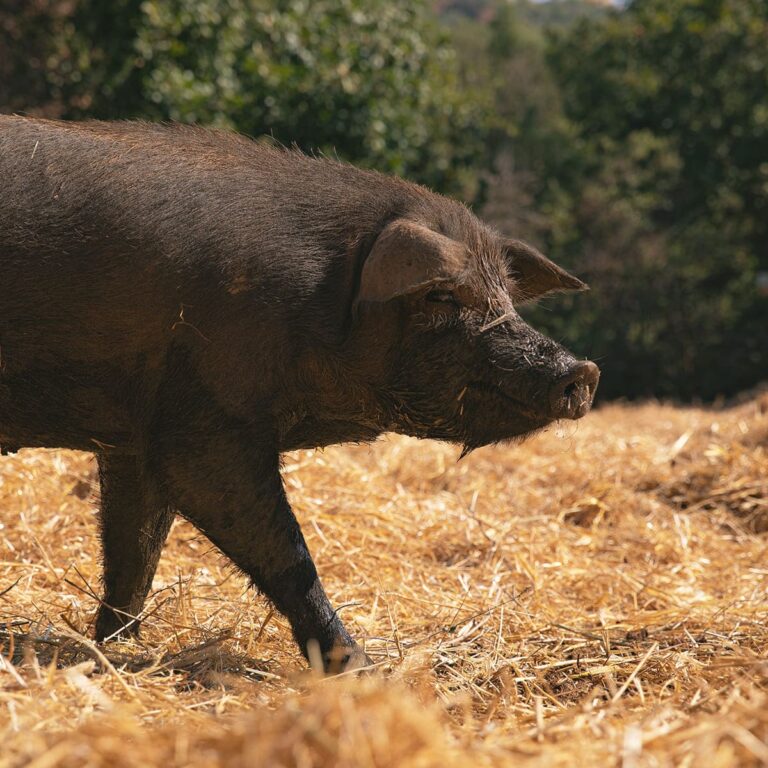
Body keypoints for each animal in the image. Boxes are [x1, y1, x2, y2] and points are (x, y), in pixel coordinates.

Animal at [0, 117, 600, 668]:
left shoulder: (134, 436)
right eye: (441, 296)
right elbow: (284, 552)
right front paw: (360, 666)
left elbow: (134, 548)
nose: (582, 370)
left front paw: (113, 647)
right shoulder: (207, 422)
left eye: (507, 294)